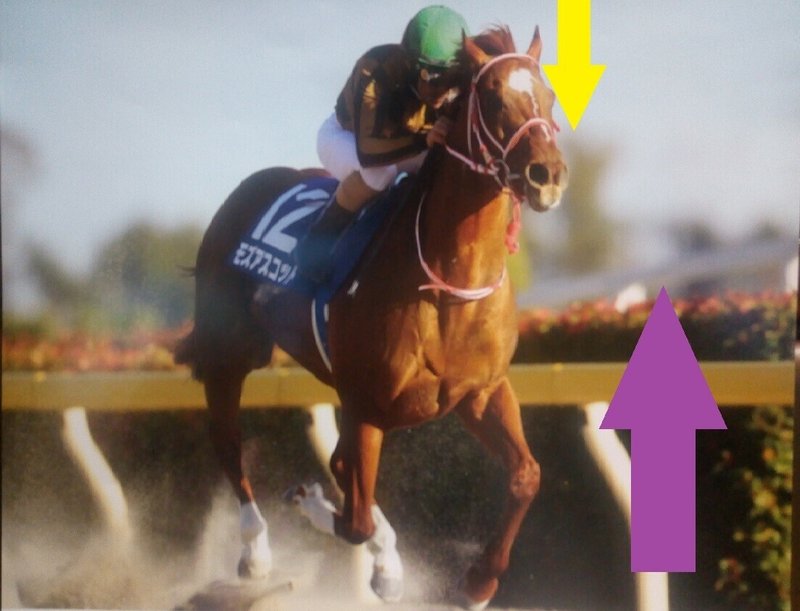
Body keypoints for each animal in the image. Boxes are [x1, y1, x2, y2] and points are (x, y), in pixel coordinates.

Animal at [175, 26, 567, 610]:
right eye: (494, 97)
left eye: (550, 96)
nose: (548, 175)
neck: (447, 285)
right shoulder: (367, 404)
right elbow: (353, 517)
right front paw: (312, 504)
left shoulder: (479, 392)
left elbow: (526, 475)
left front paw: (478, 582)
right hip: (229, 358)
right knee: (230, 445)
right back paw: (258, 551)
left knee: (340, 469)